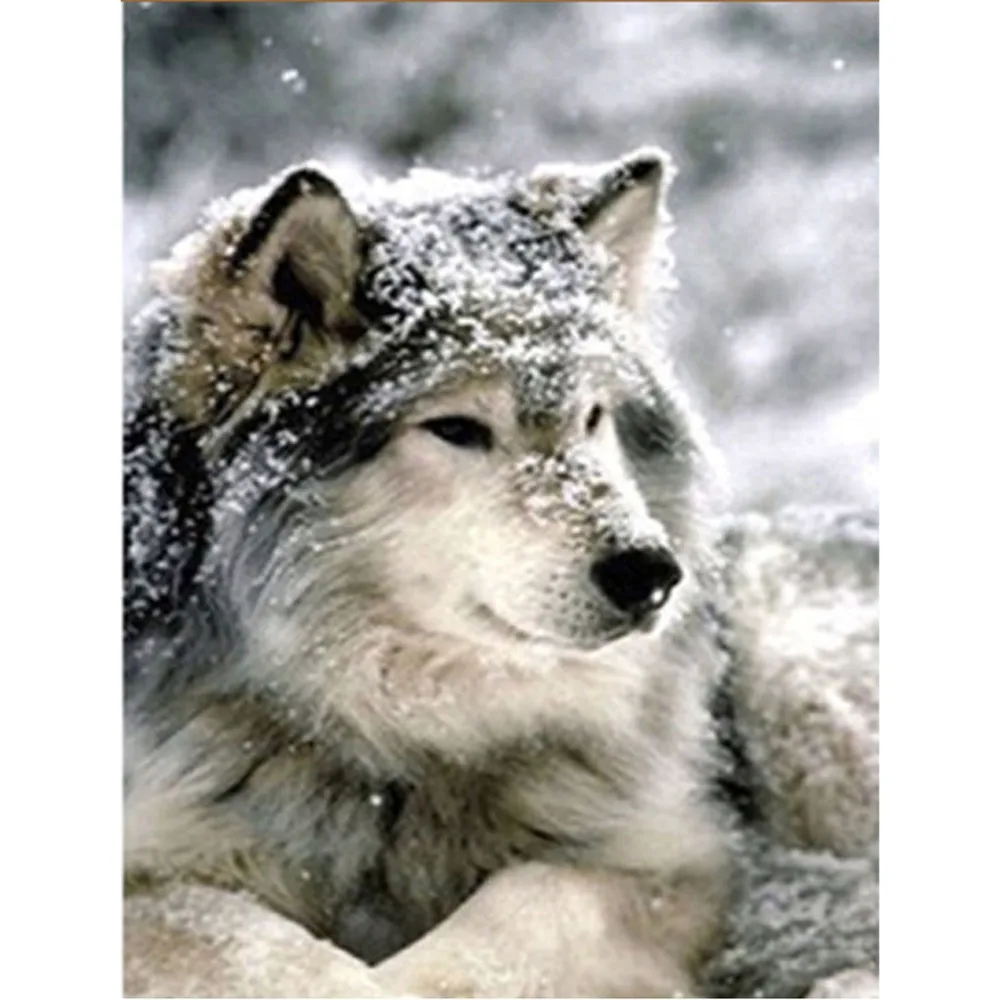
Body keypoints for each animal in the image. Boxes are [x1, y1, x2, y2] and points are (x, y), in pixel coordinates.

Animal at [124, 148, 877, 997]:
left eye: (593, 419)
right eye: (456, 428)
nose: (651, 573)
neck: (405, 750)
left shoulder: (674, 859)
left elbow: (528, 902)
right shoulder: (155, 862)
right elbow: (247, 943)